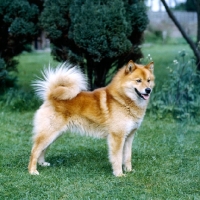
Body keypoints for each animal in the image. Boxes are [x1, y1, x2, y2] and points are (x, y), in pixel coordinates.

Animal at [27, 59, 155, 177]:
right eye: (138, 80)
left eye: (148, 80)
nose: (148, 90)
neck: (123, 100)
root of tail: (51, 96)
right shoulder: (117, 137)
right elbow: (118, 158)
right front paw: (119, 174)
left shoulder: (128, 137)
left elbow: (127, 157)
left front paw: (129, 170)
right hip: (49, 133)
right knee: (35, 150)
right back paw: (32, 171)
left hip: (55, 134)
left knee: (42, 150)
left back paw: (42, 163)